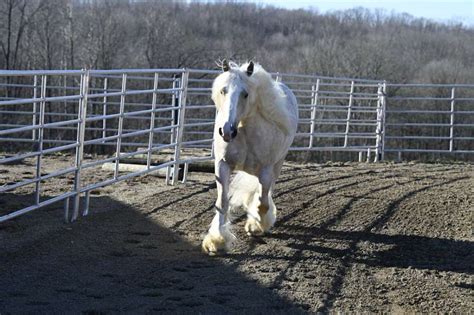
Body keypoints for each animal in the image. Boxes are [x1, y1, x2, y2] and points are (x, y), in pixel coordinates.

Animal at [202, 60, 298, 256]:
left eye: (245, 94)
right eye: (223, 90)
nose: (227, 131)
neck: (244, 131)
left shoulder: (266, 171)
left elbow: (262, 203)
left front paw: (256, 226)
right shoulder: (222, 166)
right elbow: (222, 202)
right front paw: (217, 241)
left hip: (277, 165)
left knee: (267, 193)